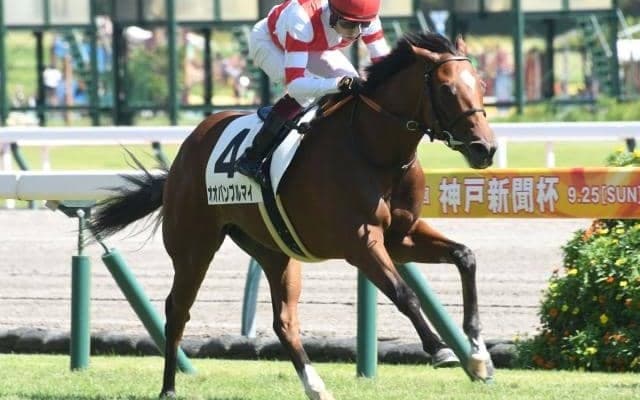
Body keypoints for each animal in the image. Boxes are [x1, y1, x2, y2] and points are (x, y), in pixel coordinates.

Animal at [91, 32, 497, 400]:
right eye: (446, 89)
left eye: (480, 84)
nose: (485, 148)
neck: (373, 149)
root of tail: (188, 147)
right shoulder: (361, 242)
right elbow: (404, 293)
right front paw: (441, 349)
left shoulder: (401, 236)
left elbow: (465, 256)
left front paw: (478, 356)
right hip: (193, 246)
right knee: (177, 310)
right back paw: (169, 388)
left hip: (275, 251)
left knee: (284, 321)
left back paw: (316, 386)